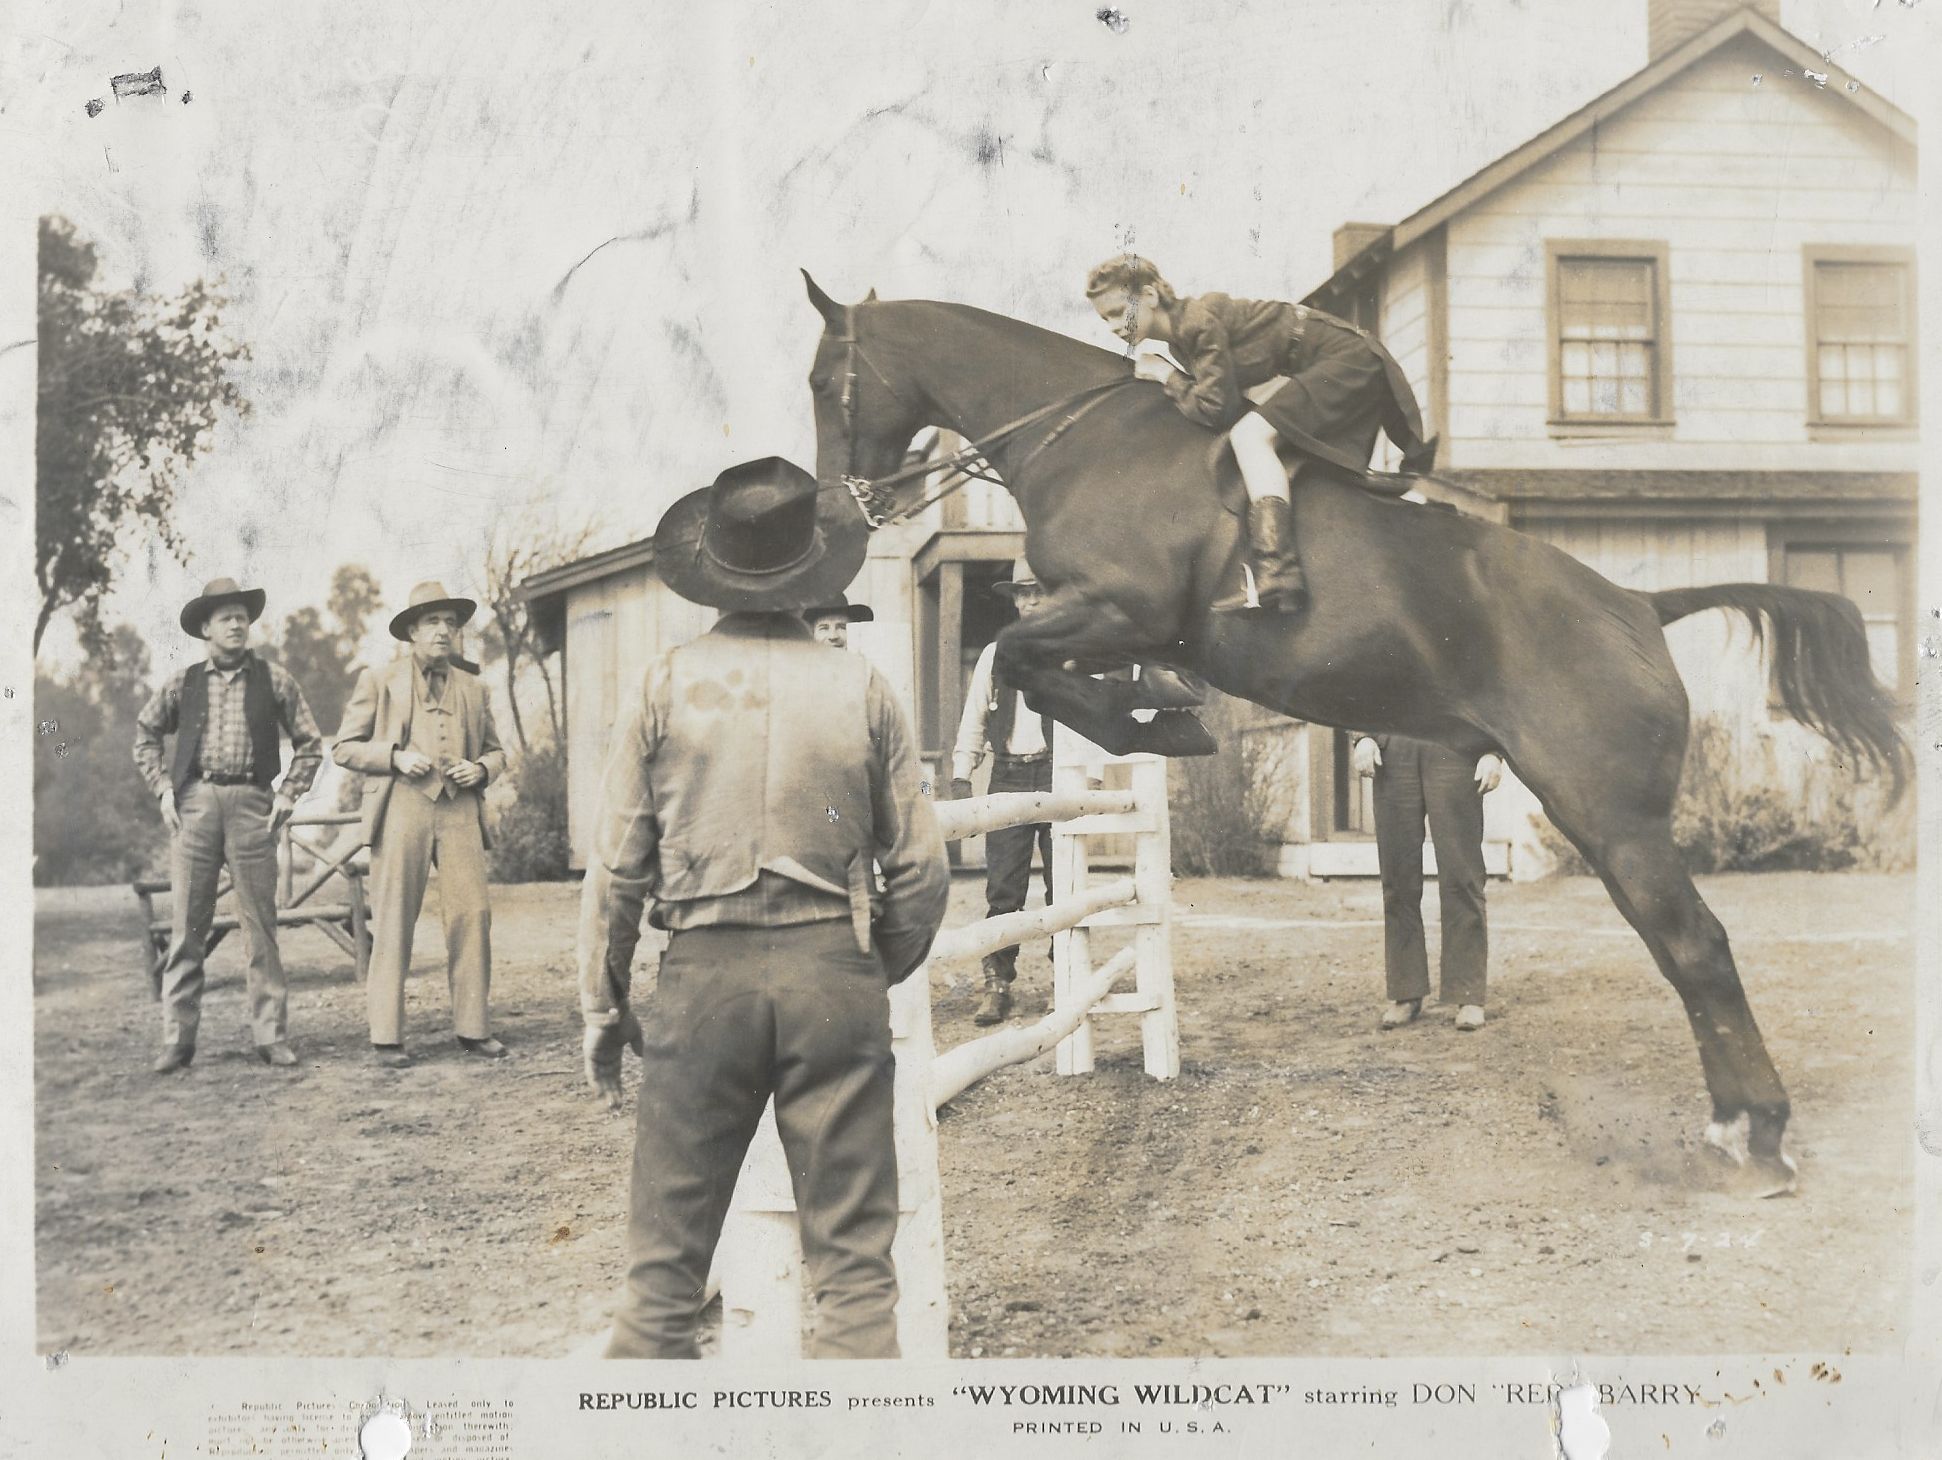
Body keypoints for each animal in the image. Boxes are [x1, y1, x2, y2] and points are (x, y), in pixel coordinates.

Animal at [800, 273, 1910, 1195]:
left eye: (823, 378)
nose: (839, 516)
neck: (1082, 436)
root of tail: (1639, 605)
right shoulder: (1118, 622)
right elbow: (1045, 668)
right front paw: (1163, 712)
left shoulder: (1119, 606)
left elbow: (1025, 656)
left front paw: (1154, 722)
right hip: (1602, 816)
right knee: (1679, 949)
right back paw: (1734, 1125)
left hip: (1607, 811)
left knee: (1697, 946)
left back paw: (1758, 1137)